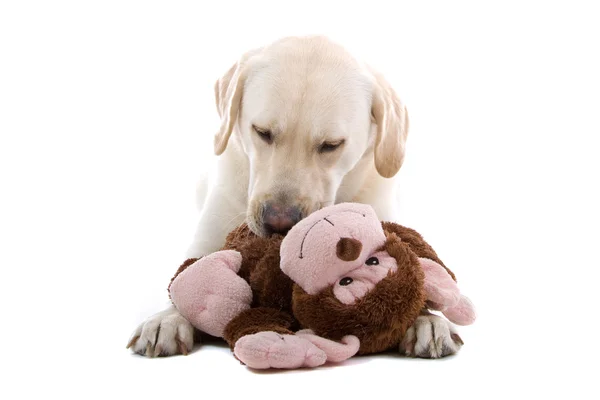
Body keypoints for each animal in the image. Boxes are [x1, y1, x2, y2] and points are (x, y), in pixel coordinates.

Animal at [127, 36, 464, 358]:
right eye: (262, 132)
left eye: (331, 145)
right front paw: (168, 319)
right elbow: (184, 281)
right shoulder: (206, 240)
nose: (279, 223)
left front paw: (426, 319)